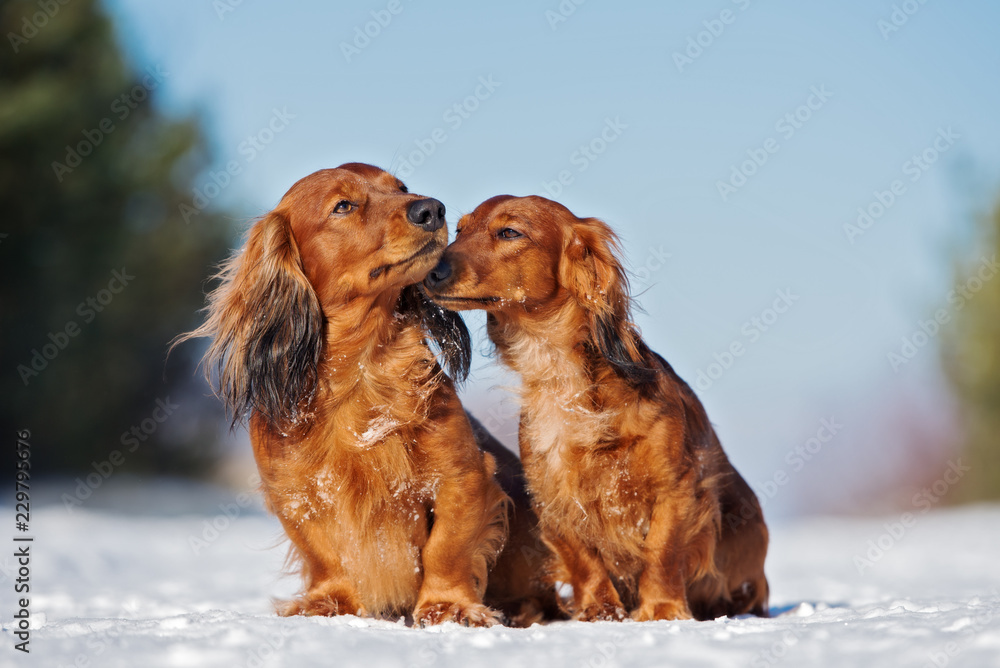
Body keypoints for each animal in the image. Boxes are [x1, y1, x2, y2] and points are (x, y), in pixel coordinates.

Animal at [175, 164, 511, 626]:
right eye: (343, 206)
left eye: (401, 188)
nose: (432, 209)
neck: (362, 373)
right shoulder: (294, 496)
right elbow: (324, 555)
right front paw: (329, 602)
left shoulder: (462, 476)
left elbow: (446, 548)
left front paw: (449, 606)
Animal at [422, 194, 770, 621]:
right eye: (460, 229)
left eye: (509, 232)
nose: (430, 273)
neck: (566, 381)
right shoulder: (552, 494)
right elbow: (582, 559)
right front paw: (600, 609)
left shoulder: (675, 487)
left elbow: (663, 552)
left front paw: (662, 609)